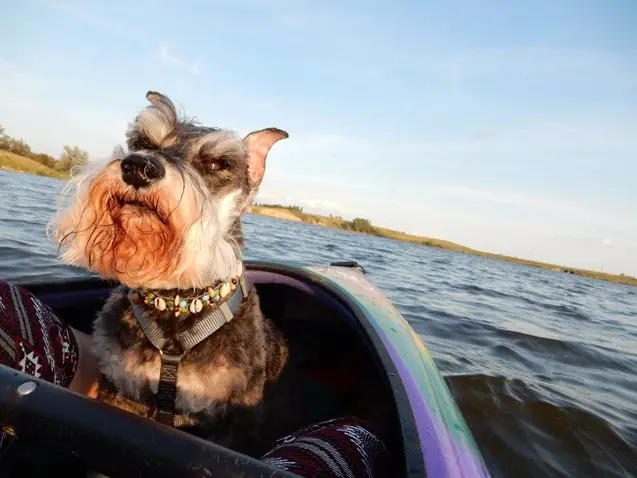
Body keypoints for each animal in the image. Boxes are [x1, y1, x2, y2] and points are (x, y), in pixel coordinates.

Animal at [52, 90, 290, 456]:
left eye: (217, 163)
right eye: (141, 141)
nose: (138, 167)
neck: (177, 303)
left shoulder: (231, 422)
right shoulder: (119, 388)